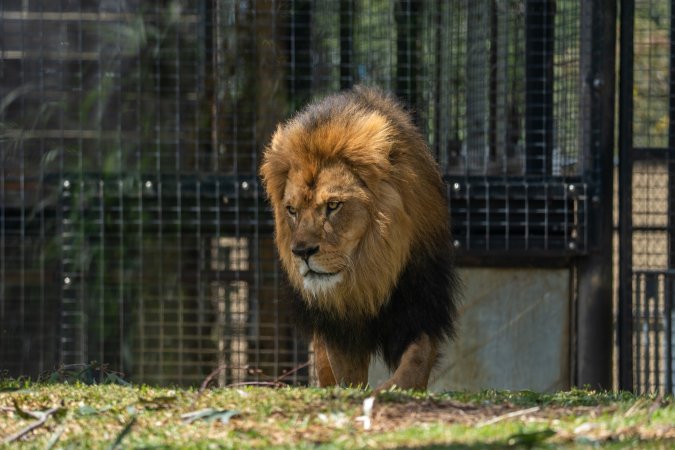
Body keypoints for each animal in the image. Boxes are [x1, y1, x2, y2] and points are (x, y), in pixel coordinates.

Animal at [260, 86, 460, 390]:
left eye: (333, 205)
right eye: (292, 210)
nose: (302, 252)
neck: (367, 275)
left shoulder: (420, 303)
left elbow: (417, 358)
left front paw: (389, 390)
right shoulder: (339, 328)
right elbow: (347, 376)